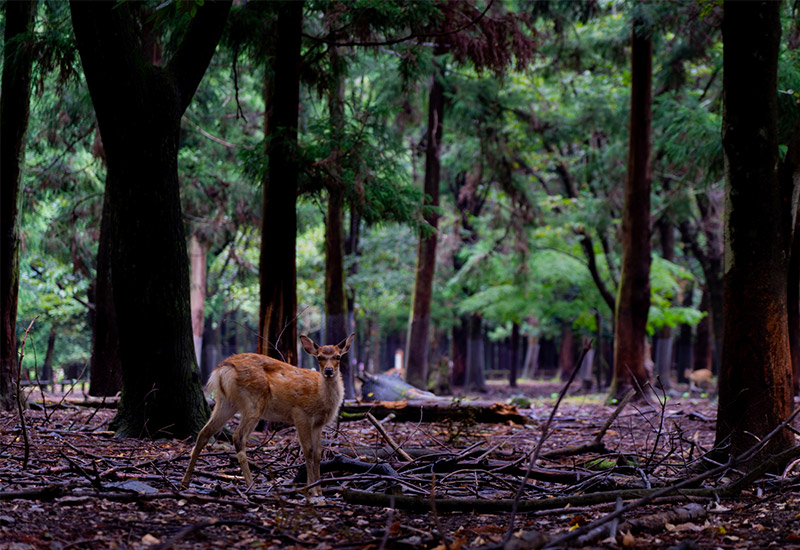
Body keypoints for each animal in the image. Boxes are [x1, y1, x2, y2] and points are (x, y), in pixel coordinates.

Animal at [184, 334, 356, 498]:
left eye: (338, 356)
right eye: (319, 357)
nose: (328, 371)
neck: (320, 395)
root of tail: (220, 371)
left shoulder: (318, 424)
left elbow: (318, 454)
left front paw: (319, 490)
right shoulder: (300, 414)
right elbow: (308, 451)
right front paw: (312, 490)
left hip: (225, 402)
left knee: (204, 432)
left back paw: (185, 482)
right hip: (253, 401)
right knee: (238, 437)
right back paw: (251, 485)